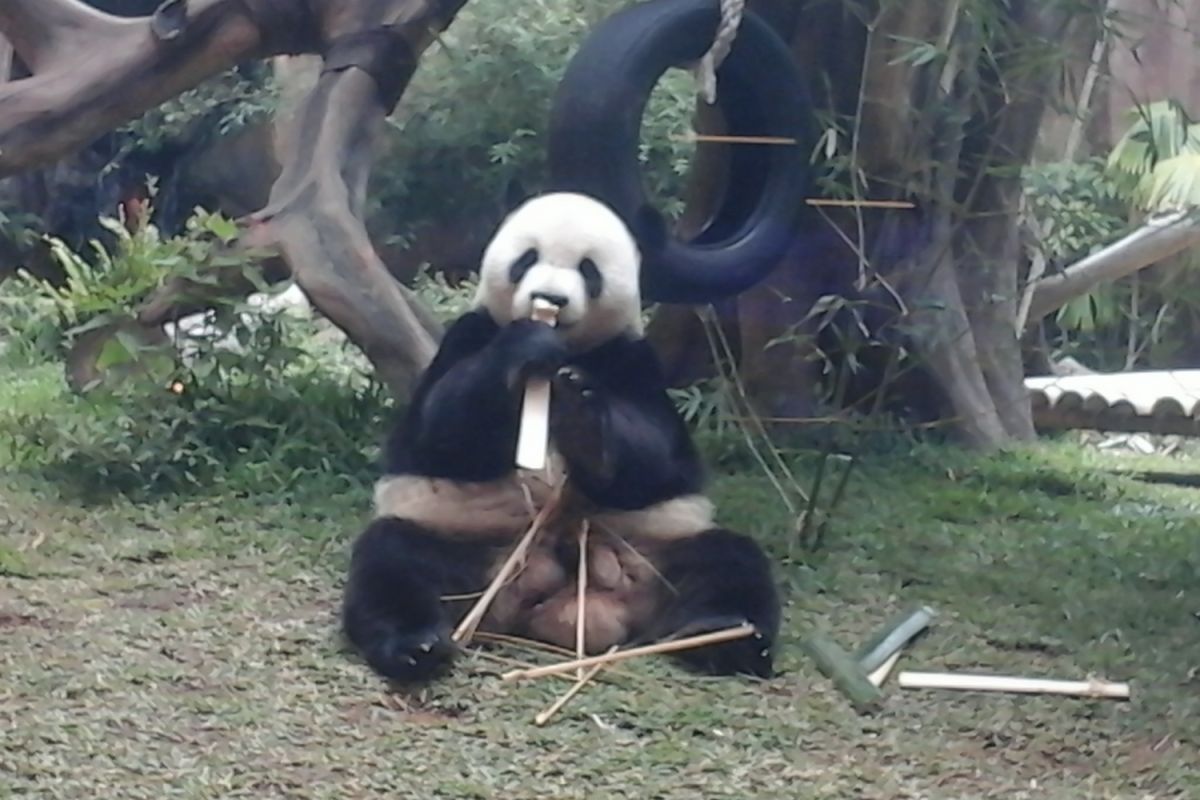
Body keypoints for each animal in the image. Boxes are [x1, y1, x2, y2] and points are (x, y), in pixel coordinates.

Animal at [343, 191, 782, 681]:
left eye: (588, 269)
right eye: (527, 259)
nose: (549, 298)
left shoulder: (634, 360)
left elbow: (661, 463)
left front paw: (582, 418)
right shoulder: (468, 335)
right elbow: (435, 437)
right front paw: (526, 348)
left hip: (653, 553)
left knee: (728, 562)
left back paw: (728, 638)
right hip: (462, 544)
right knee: (394, 563)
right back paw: (415, 645)